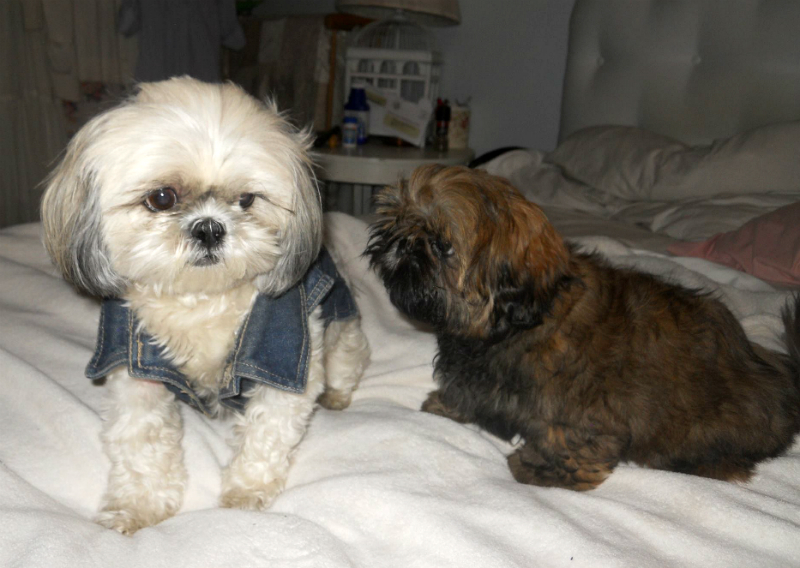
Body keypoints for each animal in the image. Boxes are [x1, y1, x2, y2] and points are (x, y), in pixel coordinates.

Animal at [41, 76, 370, 533]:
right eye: (162, 198)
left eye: (247, 200)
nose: (210, 228)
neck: (203, 302)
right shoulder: (132, 367)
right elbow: (141, 443)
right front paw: (135, 506)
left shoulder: (287, 359)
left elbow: (266, 434)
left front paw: (246, 492)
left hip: (342, 330)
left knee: (346, 363)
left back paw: (337, 396)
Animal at [366, 164, 800, 490]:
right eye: (396, 221)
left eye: (442, 245)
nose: (401, 243)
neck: (514, 324)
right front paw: (446, 406)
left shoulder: (583, 405)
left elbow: (565, 434)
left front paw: (543, 469)